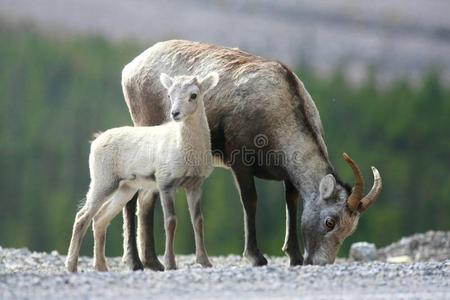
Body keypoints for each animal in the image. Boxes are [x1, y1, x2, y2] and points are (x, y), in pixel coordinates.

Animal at [65, 71, 220, 272]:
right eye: (169, 95)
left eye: (193, 95)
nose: (175, 113)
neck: (188, 149)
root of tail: (96, 141)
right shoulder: (165, 183)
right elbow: (171, 221)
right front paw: (170, 264)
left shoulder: (195, 185)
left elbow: (198, 221)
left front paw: (205, 262)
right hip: (103, 183)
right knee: (82, 216)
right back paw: (72, 266)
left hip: (125, 189)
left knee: (100, 219)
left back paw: (101, 267)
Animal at [119, 39, 380, 270]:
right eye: (330, 221)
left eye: (350, 228)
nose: (319, 263)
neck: (278, 117)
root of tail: (129, 70)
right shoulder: (240, 163)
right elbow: (250, 201)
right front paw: (256, 257)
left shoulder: (288, 177)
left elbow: (291, 204)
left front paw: (294, 256)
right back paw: (139, 263)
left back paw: (150, 263)